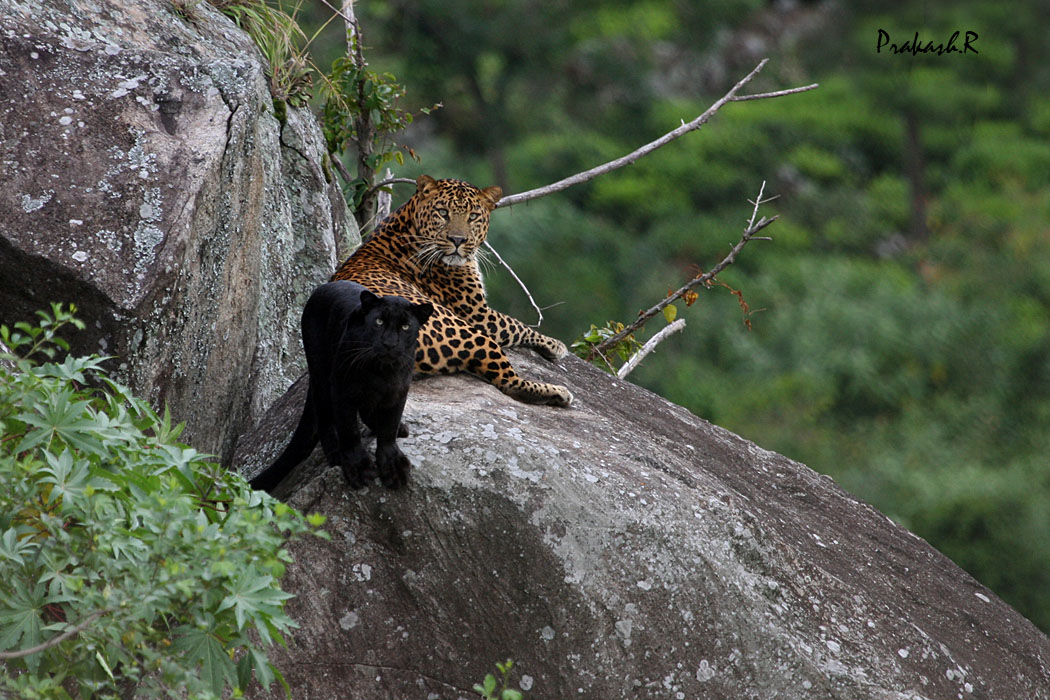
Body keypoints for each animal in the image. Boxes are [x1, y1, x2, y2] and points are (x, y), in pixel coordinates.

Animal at [329, 173, 571, 407]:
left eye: (473, 216)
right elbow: (517, 325)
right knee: (509, 383)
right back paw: (558, 392)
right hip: (470, 333)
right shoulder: (479, 314)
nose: (457, 240)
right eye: (443, 213)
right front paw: (556, 344)